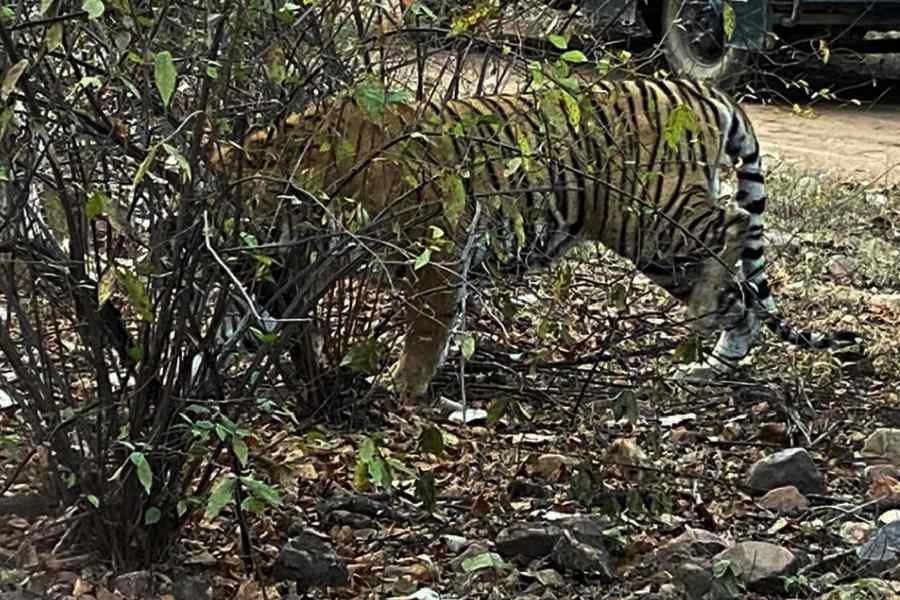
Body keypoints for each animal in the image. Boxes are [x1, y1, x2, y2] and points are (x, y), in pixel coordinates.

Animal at [209, 77, 863, 397]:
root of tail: (702, 90)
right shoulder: (290, 273)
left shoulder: (436, 247)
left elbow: (427, 325)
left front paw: (404, 387)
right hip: (658, 244)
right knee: (744, 292)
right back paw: (717, 361)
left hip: (650, 216)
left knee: (733, 229)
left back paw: (706, 323)